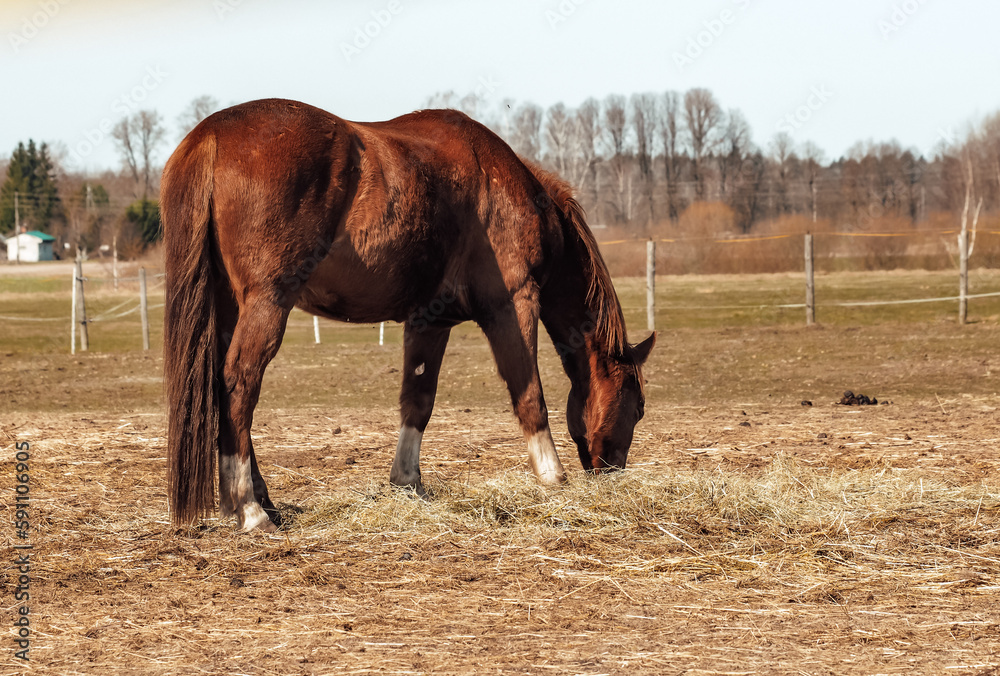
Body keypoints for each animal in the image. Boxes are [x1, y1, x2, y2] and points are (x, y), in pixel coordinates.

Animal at [161, 98, 655, 532]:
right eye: (638, 406)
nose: (611, 470)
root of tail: (211, 134)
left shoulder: (429, 321)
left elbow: (418, 400)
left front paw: (408, 481)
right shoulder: (513, 305)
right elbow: (528, 392)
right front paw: (552, 475)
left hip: (228, 308)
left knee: (223, 387)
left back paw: (256, 502)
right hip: (266, 304)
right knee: (239, 383)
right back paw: (250, 510)